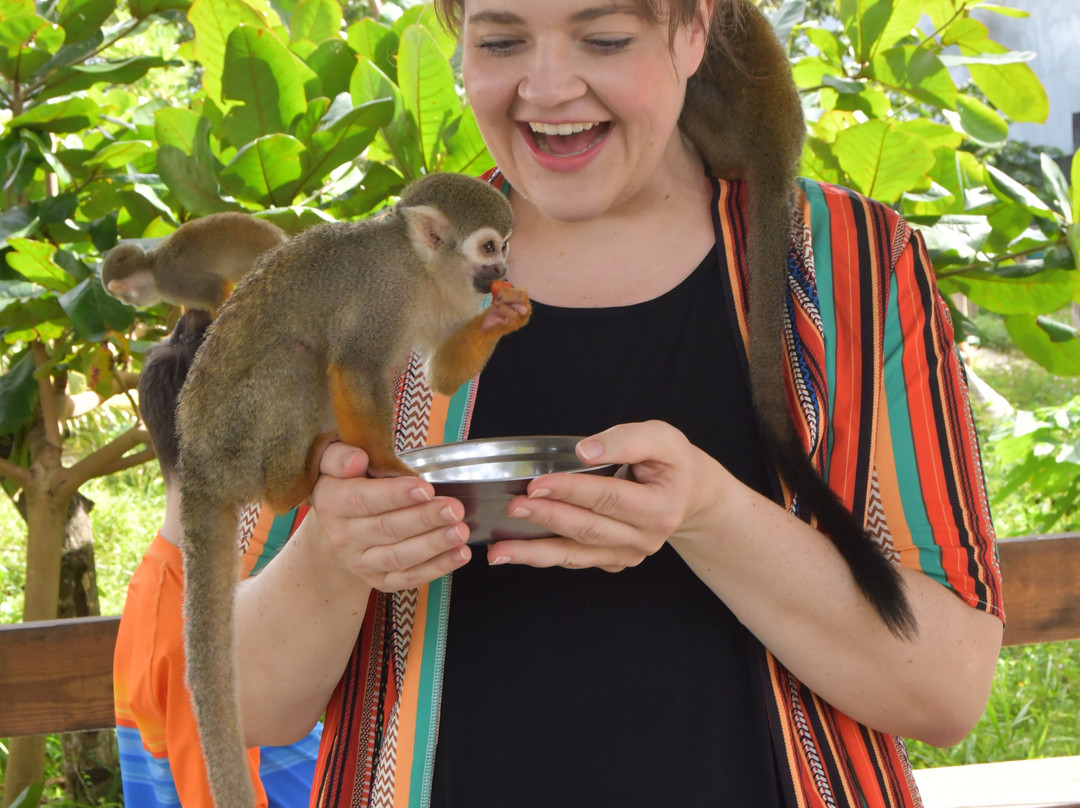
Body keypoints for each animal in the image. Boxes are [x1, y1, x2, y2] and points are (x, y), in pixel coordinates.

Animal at [174, 172, 530, 808]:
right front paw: (389, 467)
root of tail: (196, 461)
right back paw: (293, 484)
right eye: (490, 246)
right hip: (235, 441)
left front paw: (504, 316)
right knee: (298, 361)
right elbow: (357, 368)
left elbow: (440, 373)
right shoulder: (383, 294)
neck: (420, 267)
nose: (502, 271)